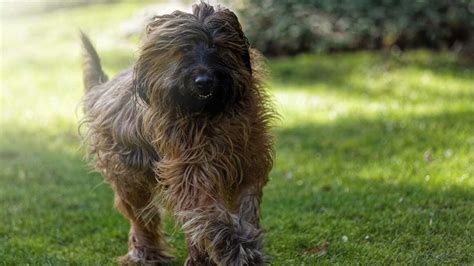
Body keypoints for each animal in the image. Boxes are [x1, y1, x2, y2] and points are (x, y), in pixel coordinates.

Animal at [80, 2, 274, 266]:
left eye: (216, 46)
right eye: (183, 49)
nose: (204, 81)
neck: (209, 114)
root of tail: (101, 89)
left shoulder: (247, 165)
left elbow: (245, 209)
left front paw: (246, 245)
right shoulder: (191, 169)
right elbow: (209, 214)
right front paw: (237, 249)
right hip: (129, 175)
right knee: (142, 216)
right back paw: (146, 253)